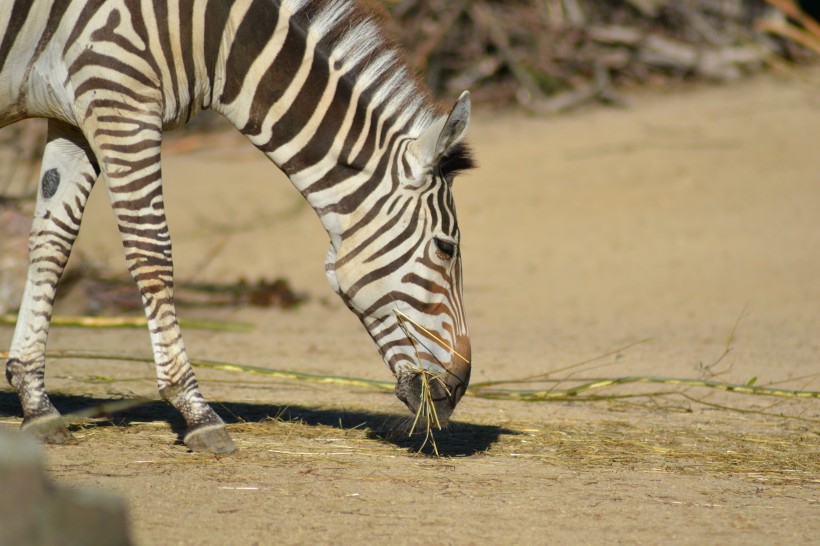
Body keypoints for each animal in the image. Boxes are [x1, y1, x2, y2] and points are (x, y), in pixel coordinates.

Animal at [0, 0, 474, 450]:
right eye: (445, 247)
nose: (459, 387)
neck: (214, 37)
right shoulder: (118, 97)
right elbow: (150, 249)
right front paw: (195, 410)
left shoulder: (74, 115)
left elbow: (51, 242)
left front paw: (36, 403)